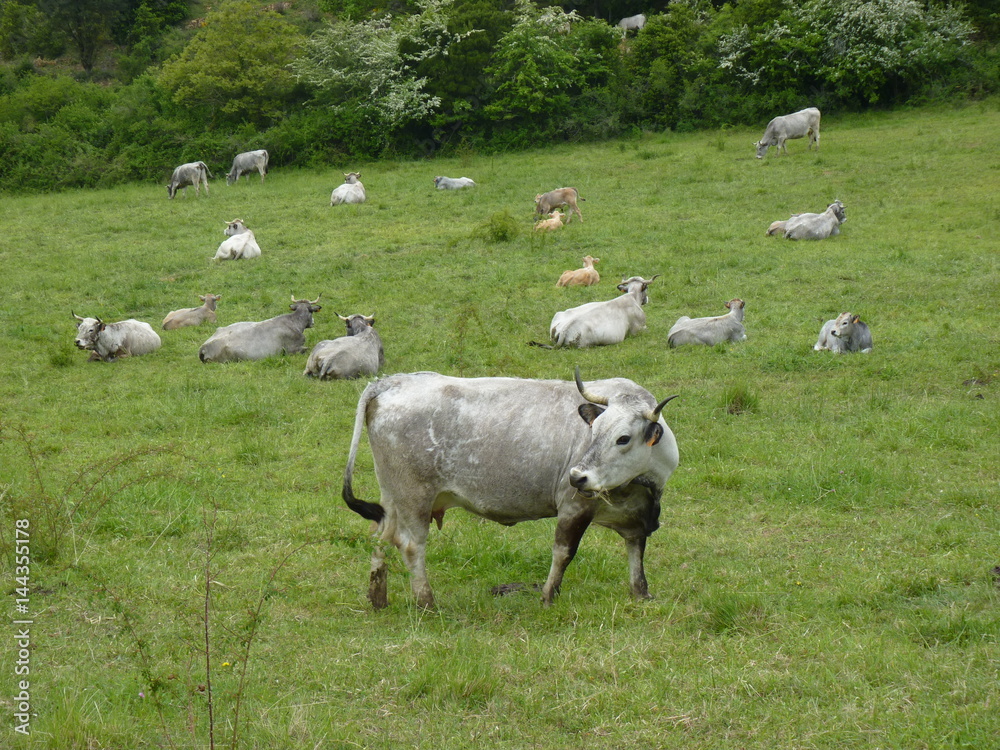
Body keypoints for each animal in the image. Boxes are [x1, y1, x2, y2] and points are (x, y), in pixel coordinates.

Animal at [342, 366, 680, 609]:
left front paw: (641, 594)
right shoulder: (574, 506)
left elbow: (636, 551)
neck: (642, 485)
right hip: (415, 497)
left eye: (623, 438)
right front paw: (547, 597)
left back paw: (378, 598)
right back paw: (427, 602)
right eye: (593, 430)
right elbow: (563, 552)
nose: (577, 476)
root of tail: (392, 381)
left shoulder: (637, 515)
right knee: (411, 545)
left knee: (380, 537)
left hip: (391, 496)